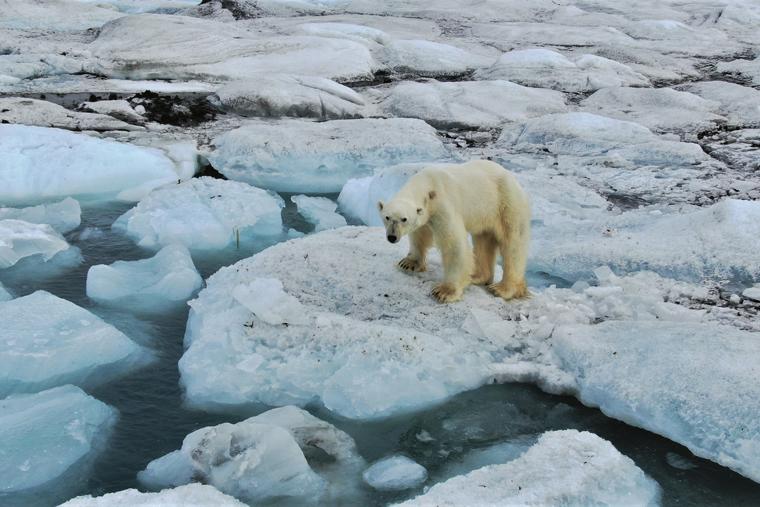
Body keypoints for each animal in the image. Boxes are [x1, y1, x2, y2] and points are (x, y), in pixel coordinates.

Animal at [378, 160, 532, 302]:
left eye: (404, 219)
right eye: (387, 217)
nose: (392, 237)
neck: (427, 184)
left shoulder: (443, 206)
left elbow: (454, 245)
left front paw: (444, 291)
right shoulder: (427, 214)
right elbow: (419, 234)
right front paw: (408, 263)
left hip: (506, 204)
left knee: (513, 244)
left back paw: (502, 288)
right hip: (485, 213)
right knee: (483, 240)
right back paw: (476, 276)